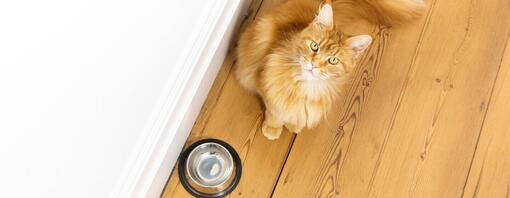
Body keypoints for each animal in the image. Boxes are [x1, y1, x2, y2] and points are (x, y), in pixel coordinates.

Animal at [236, 0, 426, 140]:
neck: (307, 88)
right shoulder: (268, 89)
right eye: (314, 46)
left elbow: (296, 115)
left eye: (332, 60)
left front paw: (294, 125)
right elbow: (275, 112)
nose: (314, 65)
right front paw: (272, 129)